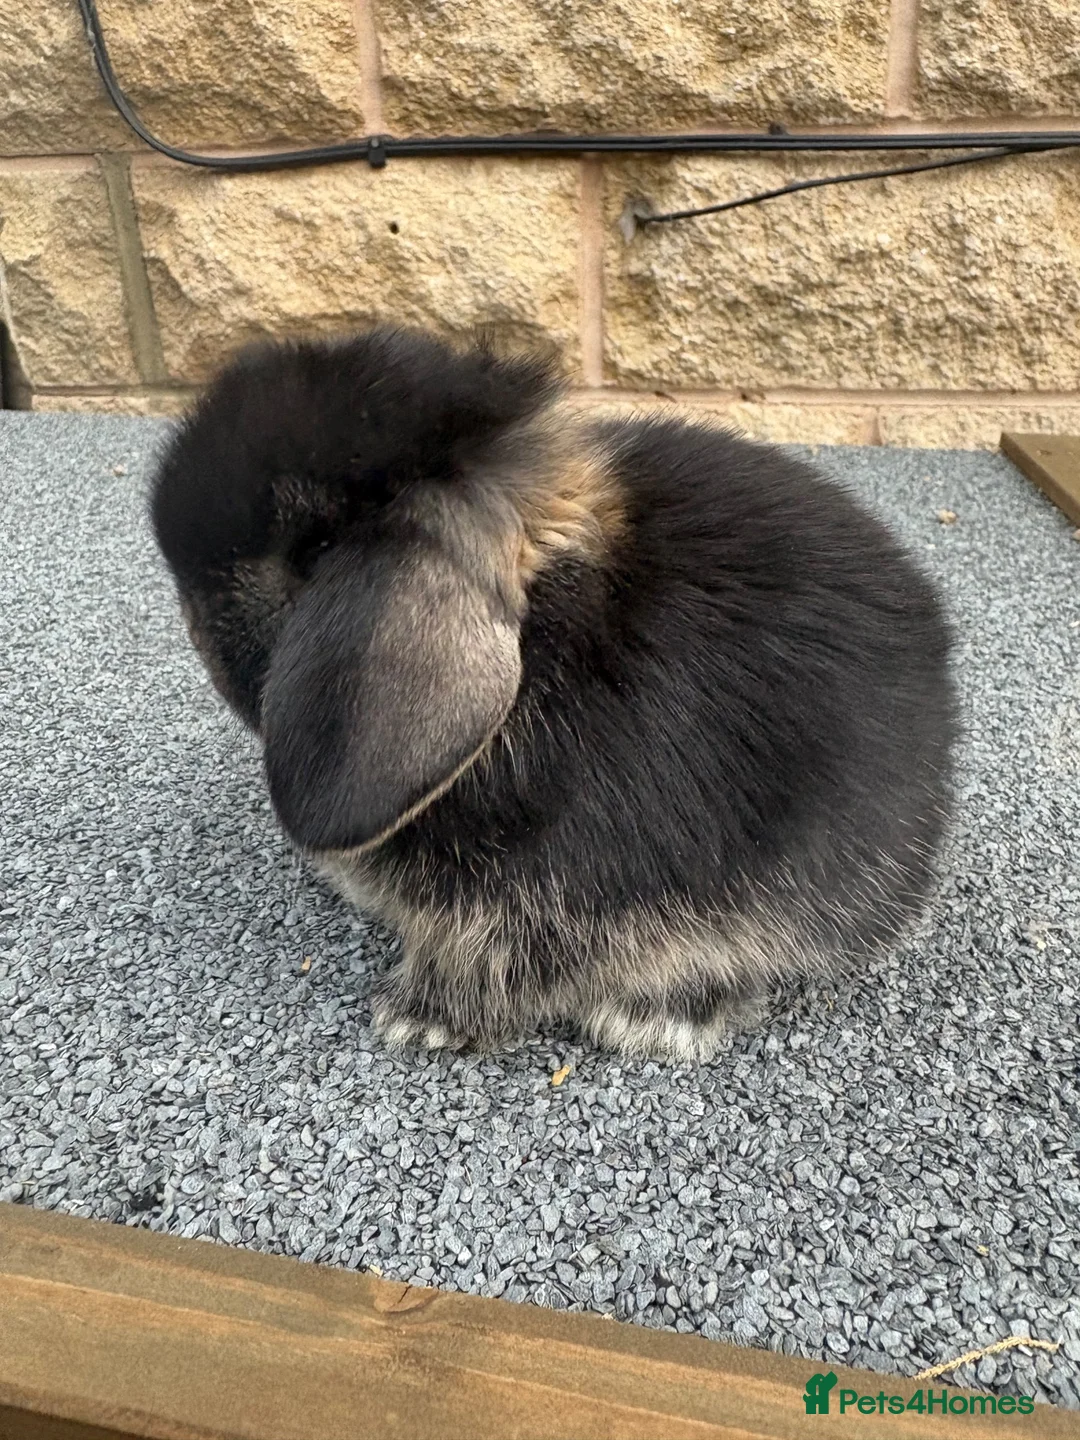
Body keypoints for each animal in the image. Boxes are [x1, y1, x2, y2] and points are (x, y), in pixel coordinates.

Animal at [150, 325, 958, 1062]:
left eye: (314, 554)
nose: (191, 626)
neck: (549, 639)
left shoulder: (547, 901)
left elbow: (501, 964)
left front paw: (418, 1019)